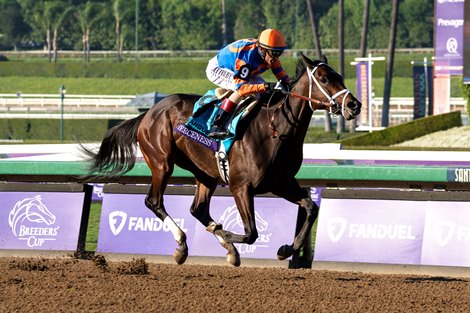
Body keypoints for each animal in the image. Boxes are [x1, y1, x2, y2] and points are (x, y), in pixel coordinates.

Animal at [86, 53, 362, 266]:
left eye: (340, 77)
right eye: (324, 79)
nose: (354, 105)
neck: (276, 130)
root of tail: (148, 113)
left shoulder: (281, 183)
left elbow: (311, 207)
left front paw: (285, 249)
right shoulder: (241, 187)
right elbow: (251, 233)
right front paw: (227, 234)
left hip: (205, 173)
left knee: (198, 209)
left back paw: (223, 247)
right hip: (162, 163)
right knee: (153, 201)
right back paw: (183, 244)